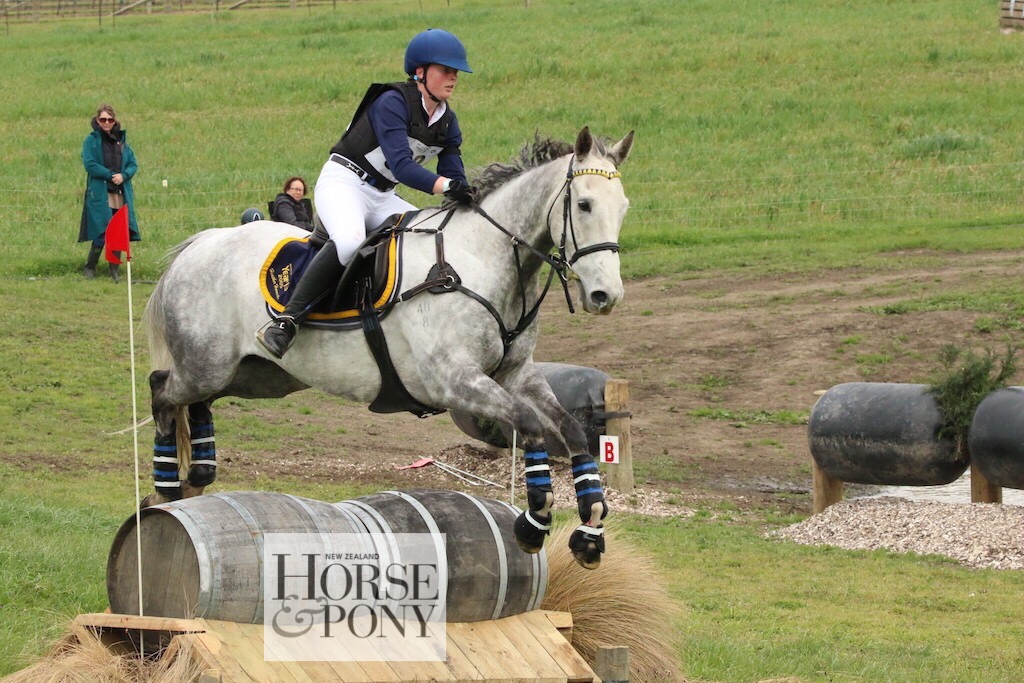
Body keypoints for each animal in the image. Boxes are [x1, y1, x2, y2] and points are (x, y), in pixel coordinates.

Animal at [146, 126, 630, 565]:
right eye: (584, 205)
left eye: (623, 208)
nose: (605, 296)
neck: (483, 259)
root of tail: (201, 243)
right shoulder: (454, 382)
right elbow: (529, 424)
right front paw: (534, 522)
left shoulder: (517, 374)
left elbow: (570, 430)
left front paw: (591, 527)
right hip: (207, 364)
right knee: (162, 390)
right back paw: (165, 490)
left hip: (255, 376)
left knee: (198, 401)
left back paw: (197, 476)